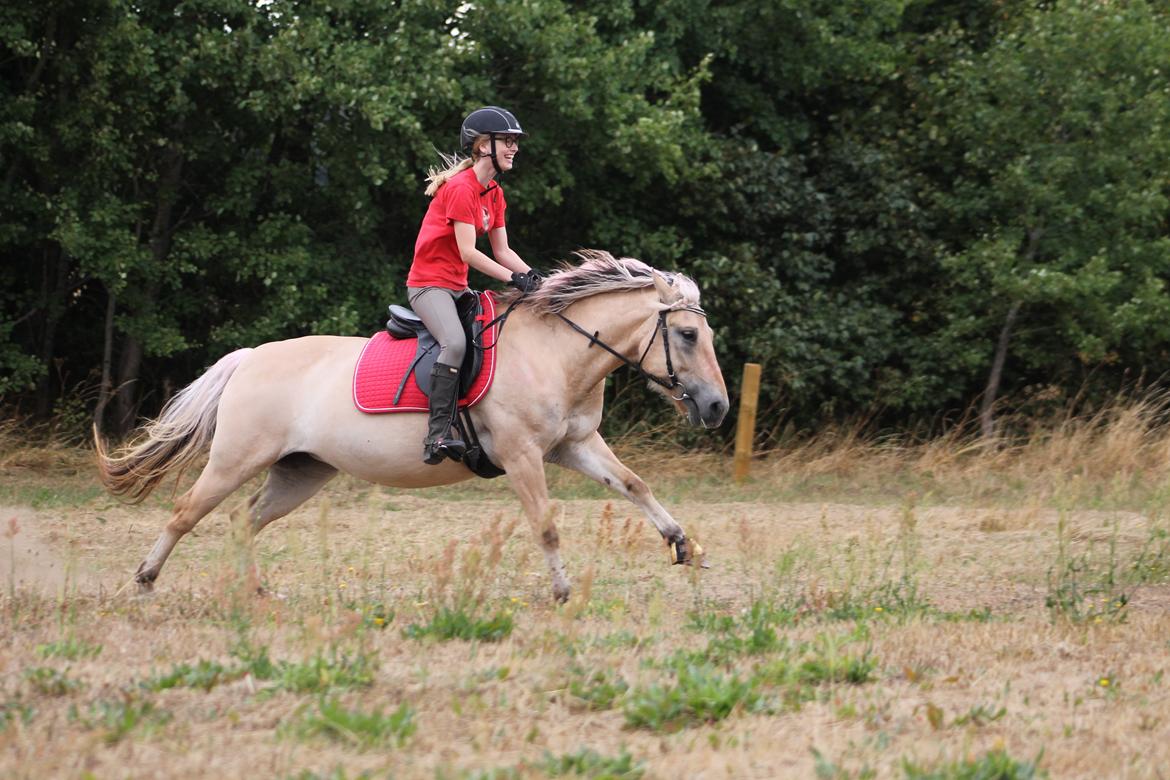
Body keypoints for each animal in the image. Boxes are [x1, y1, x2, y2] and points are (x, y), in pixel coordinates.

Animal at [95, 250, 725, 603]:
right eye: (687, 335)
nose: (717, 407)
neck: (555, 351)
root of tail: (249, 358)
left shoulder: (573, 445)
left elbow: (634, 485)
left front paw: (684, 546)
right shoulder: (522, 454)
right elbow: (545, 525)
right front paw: (563, 590)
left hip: (302, 472)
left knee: (242, 521)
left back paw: (253, 591)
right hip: (236, 459)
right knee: (186, 514)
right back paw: (145, 581)